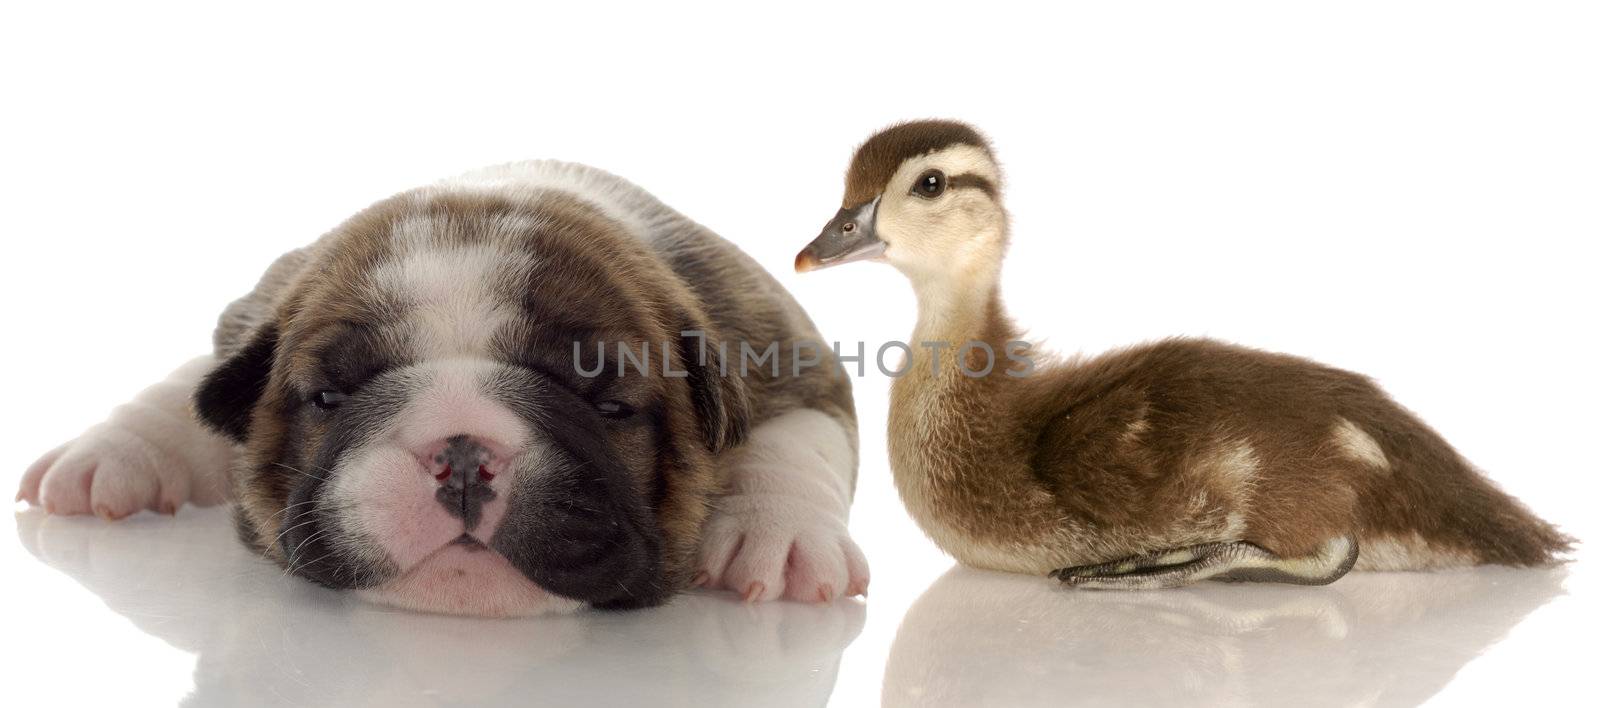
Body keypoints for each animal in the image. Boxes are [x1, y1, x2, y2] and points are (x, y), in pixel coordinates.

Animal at [15, 163, 864, 618]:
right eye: (329, 398)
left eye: (609, 405)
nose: (460, 452)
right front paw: (125, 444)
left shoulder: (785, 351)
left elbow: (800, 442)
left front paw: (779, 535)